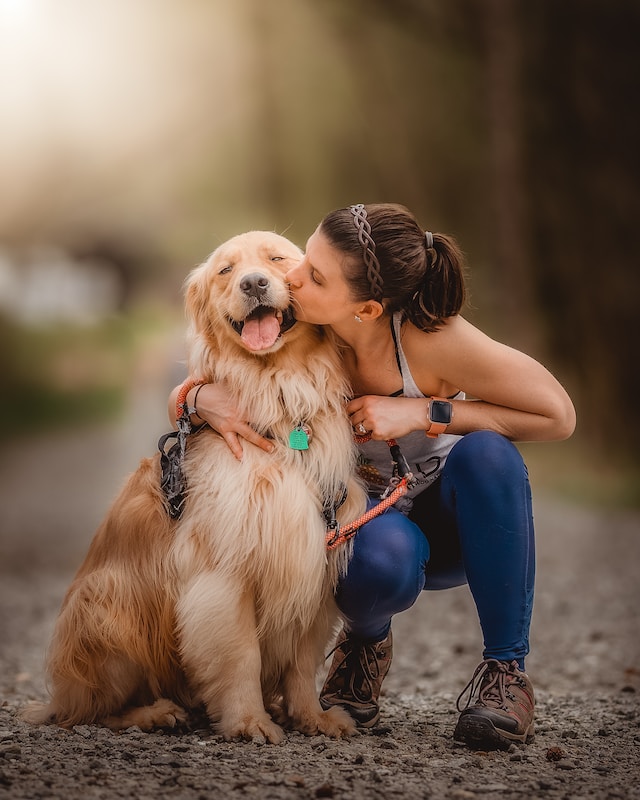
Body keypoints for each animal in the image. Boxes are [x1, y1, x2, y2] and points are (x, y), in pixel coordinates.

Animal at [26, 230, 364, 744]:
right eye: (226, 270)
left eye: (276, 259)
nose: (253, 283)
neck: (278, 398)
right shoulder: (224, 569)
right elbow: (241, 655)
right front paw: (248, 721)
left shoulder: (314, 558)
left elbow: (303, 663)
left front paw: (312, 716)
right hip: (111, 607)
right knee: (89, 711)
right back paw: (155, 713)